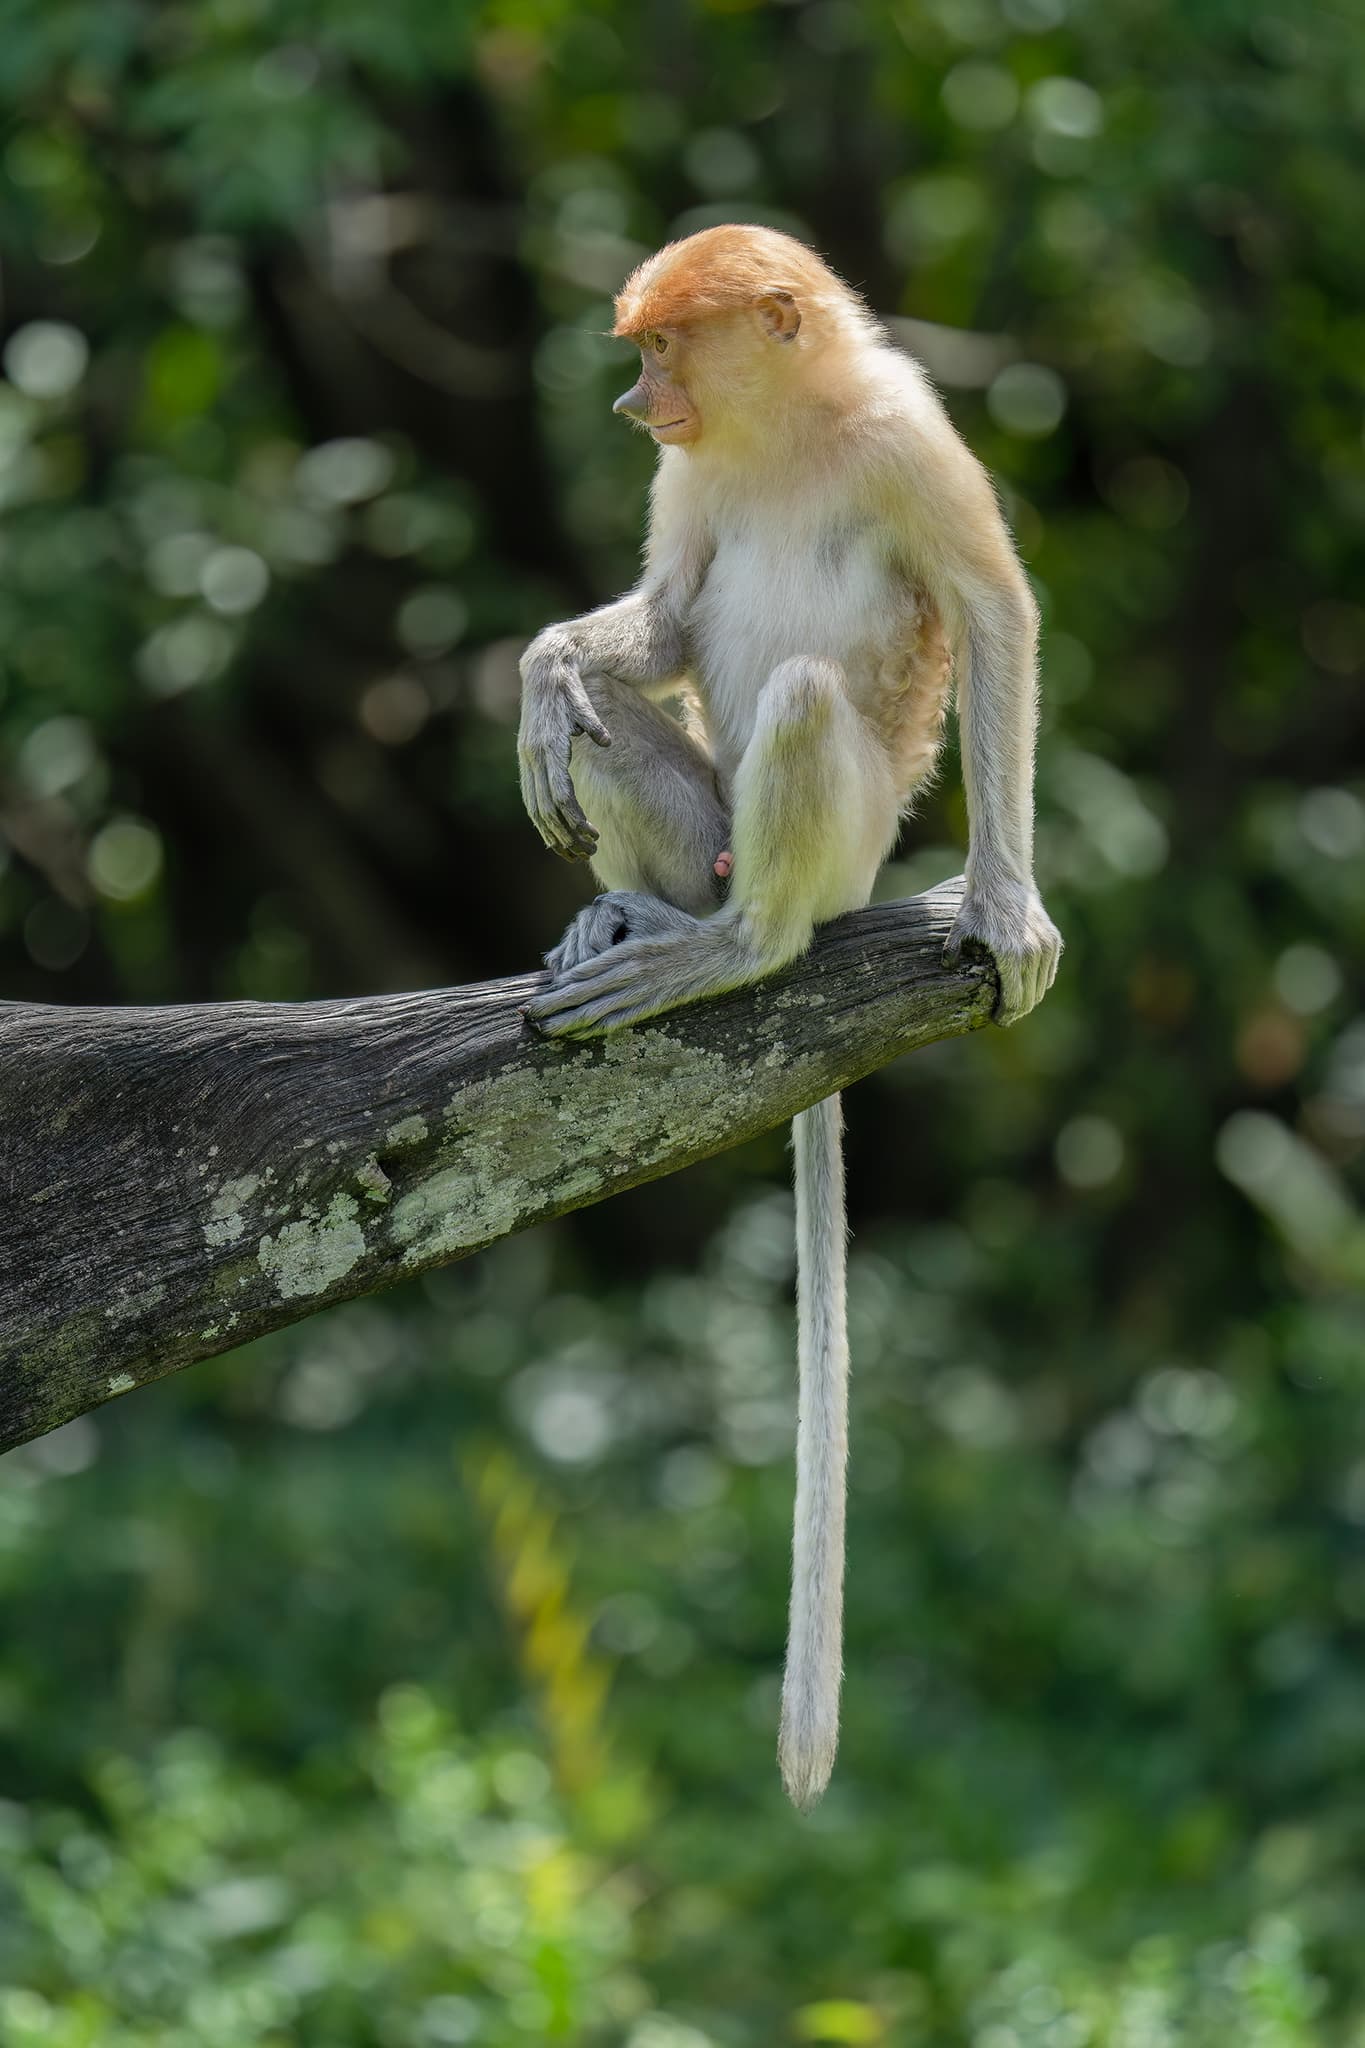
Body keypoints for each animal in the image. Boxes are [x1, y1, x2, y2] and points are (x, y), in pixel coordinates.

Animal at [517, 225, 1061, 1808]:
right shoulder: (690, 483)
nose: (633, 408)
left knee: (811, 704)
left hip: (844, 842)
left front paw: (1007, 908)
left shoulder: (912, 442)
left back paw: (734, 948)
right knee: (609, 742)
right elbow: (664, 611)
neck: (787, 427)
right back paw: (628, 914)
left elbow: (993, 613)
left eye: (658, 347)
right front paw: (545, 669)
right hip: (697, 820)